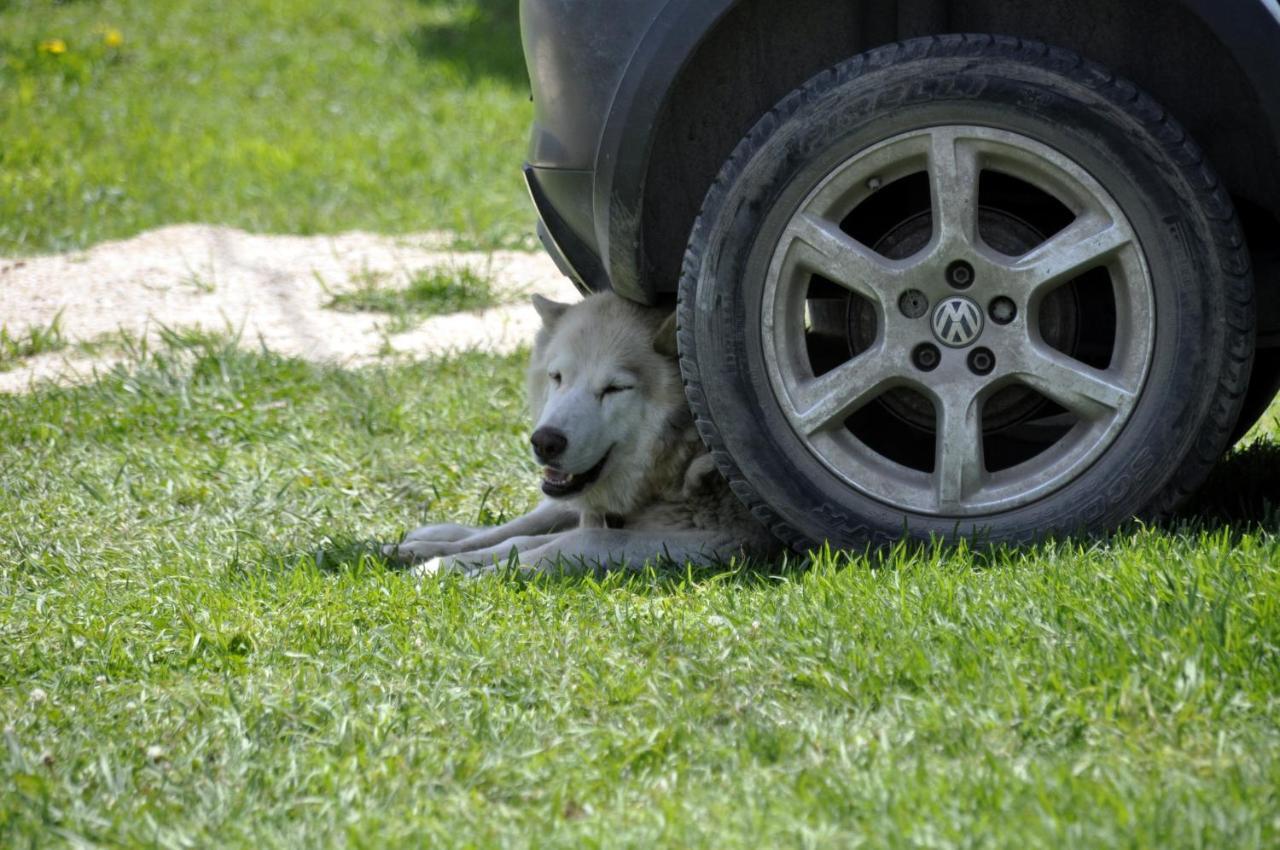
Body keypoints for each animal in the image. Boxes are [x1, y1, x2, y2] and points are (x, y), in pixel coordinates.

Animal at [384, 291, 773, 578]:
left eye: (615, 388)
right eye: (557, 377)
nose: (545, 442)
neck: (681, 462)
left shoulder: (725, 540)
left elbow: (579, 540)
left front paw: (478, 574)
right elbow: (515, 538)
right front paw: (440, 564)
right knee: (519, 524)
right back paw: (424, 543)